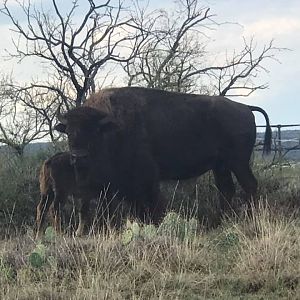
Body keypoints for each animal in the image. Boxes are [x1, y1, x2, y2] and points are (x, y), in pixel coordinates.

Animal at [54, 85, 272, 214]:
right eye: (69, 132)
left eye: (93, 131)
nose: (79, 158)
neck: (112, 127)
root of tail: (245, 108)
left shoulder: (146, 178)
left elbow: (150, 204)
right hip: (221, 165)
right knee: (227, 189)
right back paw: (223, 219)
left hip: (238, 162)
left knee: (249, 185)